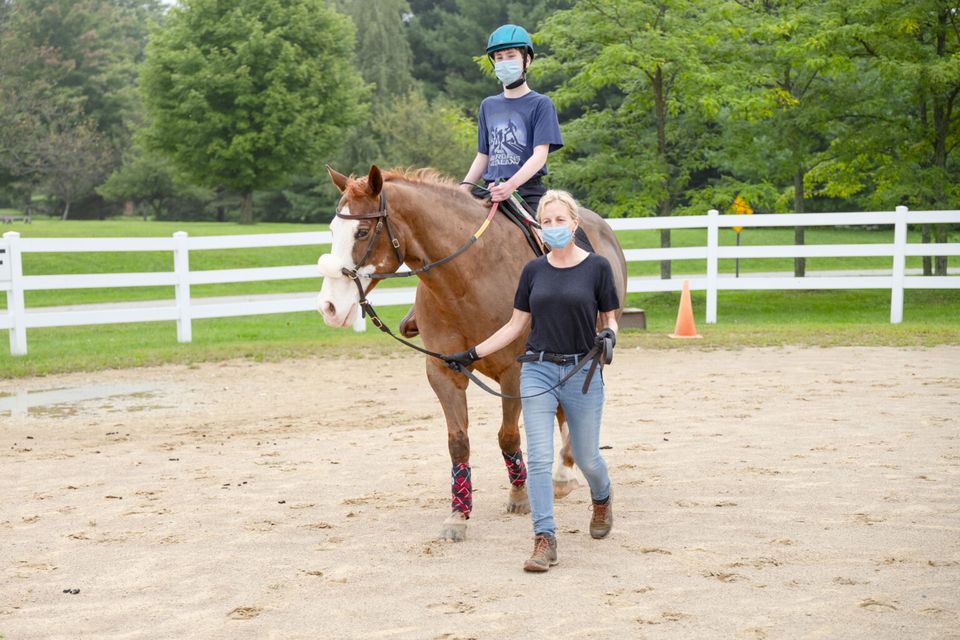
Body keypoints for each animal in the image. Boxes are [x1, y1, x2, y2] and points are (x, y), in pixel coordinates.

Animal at [316, 165, 632, 540]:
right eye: (332, 230)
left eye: (362, 231)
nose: (329, 307)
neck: (468, 278)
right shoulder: (443, 371)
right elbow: (458, 443)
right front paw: (458, 513)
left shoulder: (514, 372)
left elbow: (508, 437)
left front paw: (519, 495)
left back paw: (564, 472)